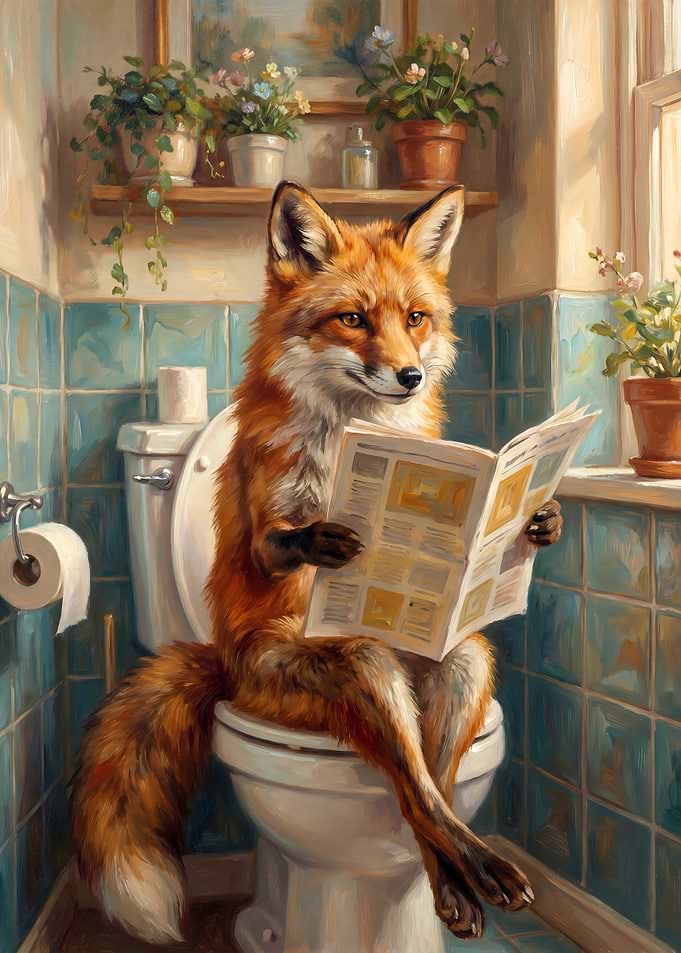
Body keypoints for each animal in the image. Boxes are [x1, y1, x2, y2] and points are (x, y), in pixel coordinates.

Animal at [71, 182, 563, 945]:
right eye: (353, 319)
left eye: (415, 318)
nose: (410, 375)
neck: (349, 435)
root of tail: (222, 660)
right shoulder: (262, 507)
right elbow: (270, 545)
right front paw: (319, 541)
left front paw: (539, 521)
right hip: (333, 669)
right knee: (413, 785)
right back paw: (480, 873)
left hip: (455, 661)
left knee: (430, 783)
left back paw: (457, 884)